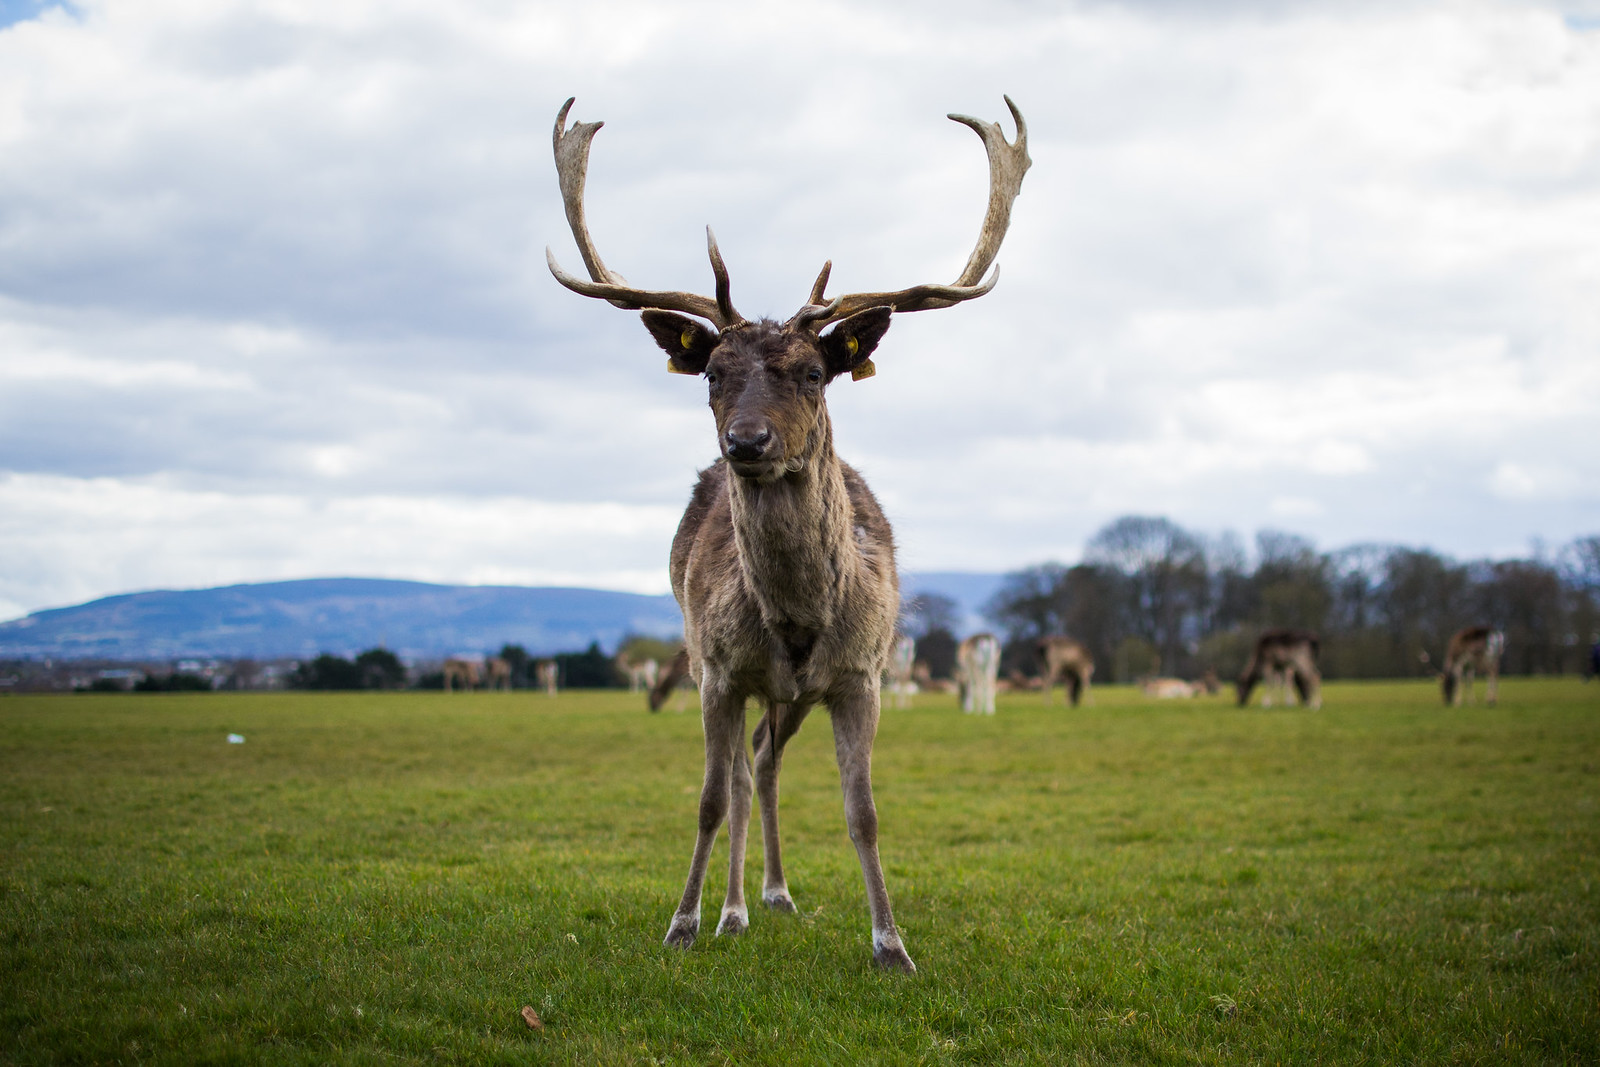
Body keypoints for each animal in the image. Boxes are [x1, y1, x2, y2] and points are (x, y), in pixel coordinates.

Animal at [547, 95, 1029, 972]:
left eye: (813, 371)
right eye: (711, 373)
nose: (747, 441)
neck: (798, 617)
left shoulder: (860, 674)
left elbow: (863, 809)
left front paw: (891, 943)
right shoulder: (715, 671)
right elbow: (709, 798)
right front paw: (683, 922)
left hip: (794, 696)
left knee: (766, 763)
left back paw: (772, 892)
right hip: (724, 668)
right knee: (743, 775)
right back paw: (736, 907)